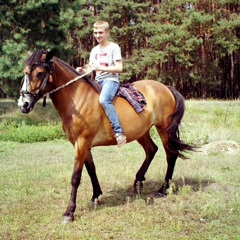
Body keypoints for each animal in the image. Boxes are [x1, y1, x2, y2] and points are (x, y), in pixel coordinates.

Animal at [17, 49, 194, 224]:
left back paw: (163, 189)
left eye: (40, 73)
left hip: (164, 129)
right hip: (141, 132)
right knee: (151, 150)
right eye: (25, 72)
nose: (23, 104)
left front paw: (69, 212)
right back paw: (138, 182)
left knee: (170, 154)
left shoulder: (81, 143)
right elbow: (91, 170)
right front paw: (96, 196)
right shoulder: (83, 145)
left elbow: (76, 177)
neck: (78, 100)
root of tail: (166, 88)